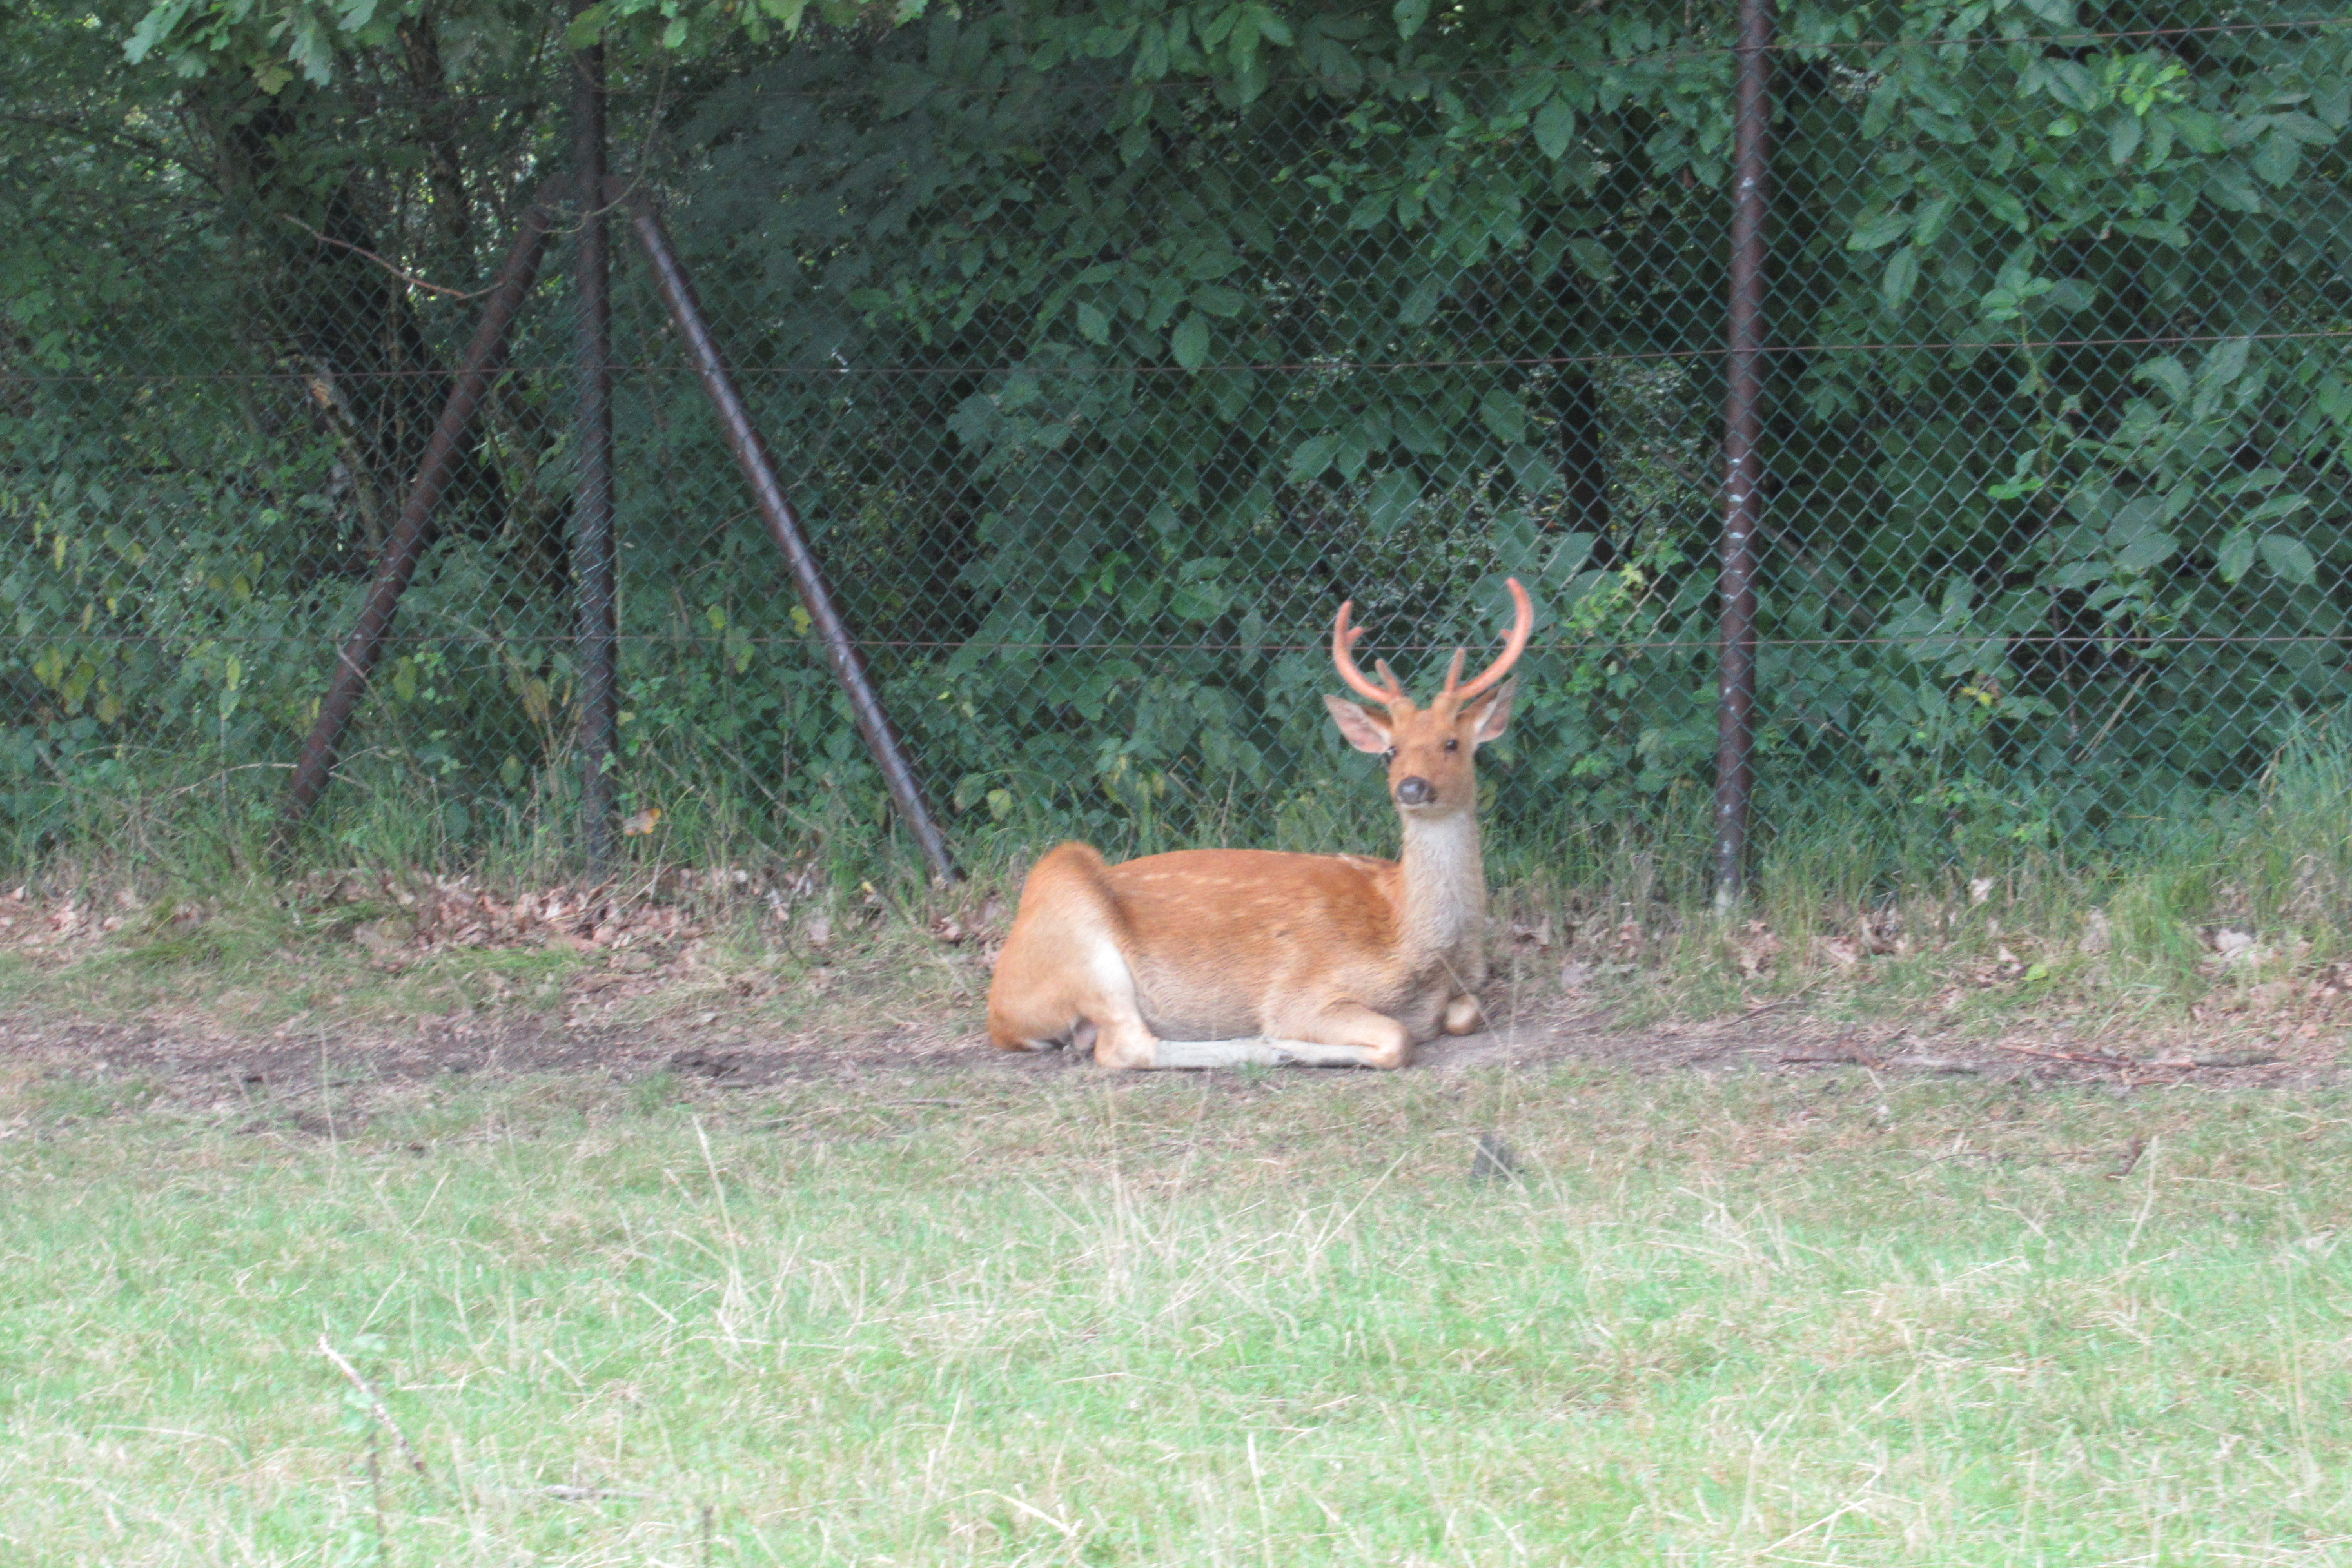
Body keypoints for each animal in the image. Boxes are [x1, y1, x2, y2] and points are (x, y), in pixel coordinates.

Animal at [986, 578, 1532, 1070]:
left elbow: (1466, 1013)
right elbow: (1397, 1038)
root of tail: (1000, 1014)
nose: (1412, 788)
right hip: (1076, 917)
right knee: (1124, 1048)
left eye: (1451, 743)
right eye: (1392, 750)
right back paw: (1271, 1048)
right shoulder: (1305, 987)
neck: (1417, 946)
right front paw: (1290, 1040)